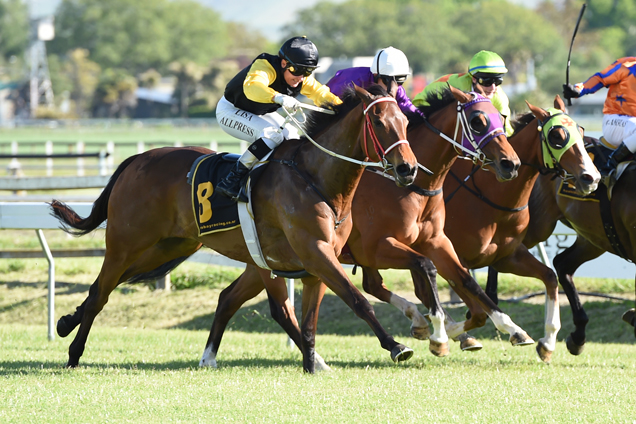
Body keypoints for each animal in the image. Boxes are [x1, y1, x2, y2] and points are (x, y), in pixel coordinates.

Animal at [49, 85, 420, 372]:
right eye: (377, 121)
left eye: (404, 122)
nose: (408, 169)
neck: (315, 178)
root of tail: (134, 160)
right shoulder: (316, 253)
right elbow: (357, 300)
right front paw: (396, 346)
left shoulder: (311, 264)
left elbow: (309, 320)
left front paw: (312, 363)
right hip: (127, 243)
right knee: (101, 293)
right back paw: (73, 354)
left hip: (168, 248)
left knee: (106, 288)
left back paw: (67, 323)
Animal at [204, 86, 532, 368]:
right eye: (477, 122)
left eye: (501, 117)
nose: (511, 164)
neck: (414, 188)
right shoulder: (375, 248)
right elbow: (424, 268)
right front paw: (438, 334)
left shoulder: (435, 240)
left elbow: (466, 281)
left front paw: (512, 328)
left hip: (265, 261)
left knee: (230, 297)